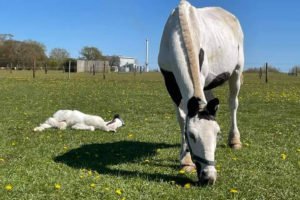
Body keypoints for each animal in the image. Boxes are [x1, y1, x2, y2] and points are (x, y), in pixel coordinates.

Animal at [157, 0, 244, 184]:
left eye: (217, 134)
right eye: (191, 135)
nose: (209, 177)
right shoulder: (170, 83)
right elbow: (182, 118)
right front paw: (186, 160)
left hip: (237, 71)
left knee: (233, 103)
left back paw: (234, 140)